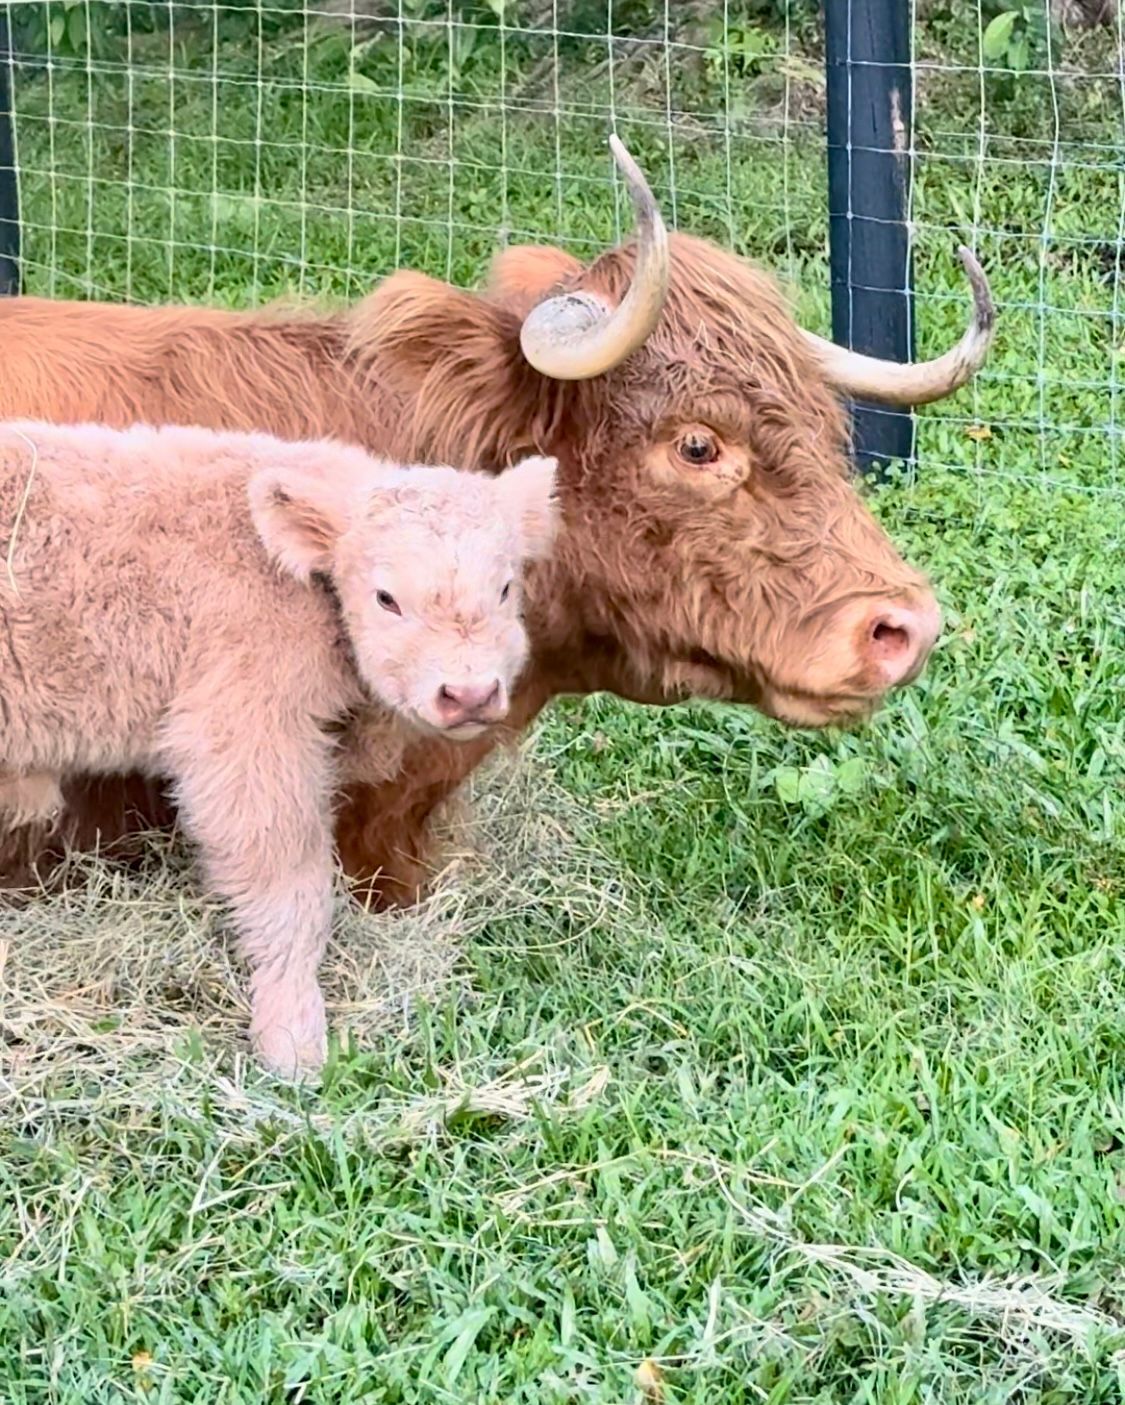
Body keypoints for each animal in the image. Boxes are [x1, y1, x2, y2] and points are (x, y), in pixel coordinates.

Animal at [0, 420, 558, 1072]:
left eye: (505, 588)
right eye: (386, 598)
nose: (468, 693)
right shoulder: (245, 731)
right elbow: (290, 883)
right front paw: (293, 1038)